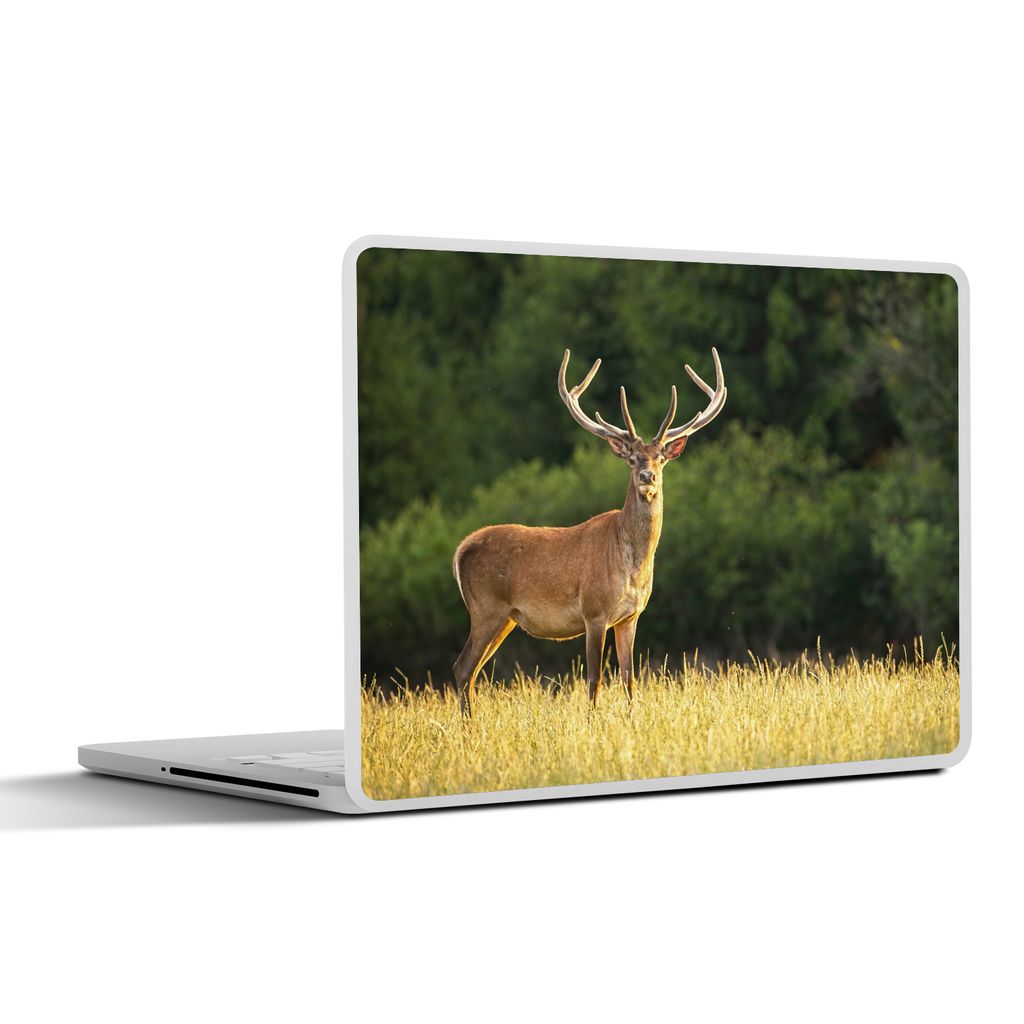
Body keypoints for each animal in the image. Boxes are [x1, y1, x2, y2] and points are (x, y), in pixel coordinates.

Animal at [451, 347, 727, 716]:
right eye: (632, 458)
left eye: (661, 458)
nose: (648, 476)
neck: (632, 566)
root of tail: (460, 551)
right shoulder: (593, 612)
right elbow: (594, 679)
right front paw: (592, 722)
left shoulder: (630, 616)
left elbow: (629, 680)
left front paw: (631, 720)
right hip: (485, 608)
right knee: (462, 667)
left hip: (505, 618)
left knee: (471, 671)